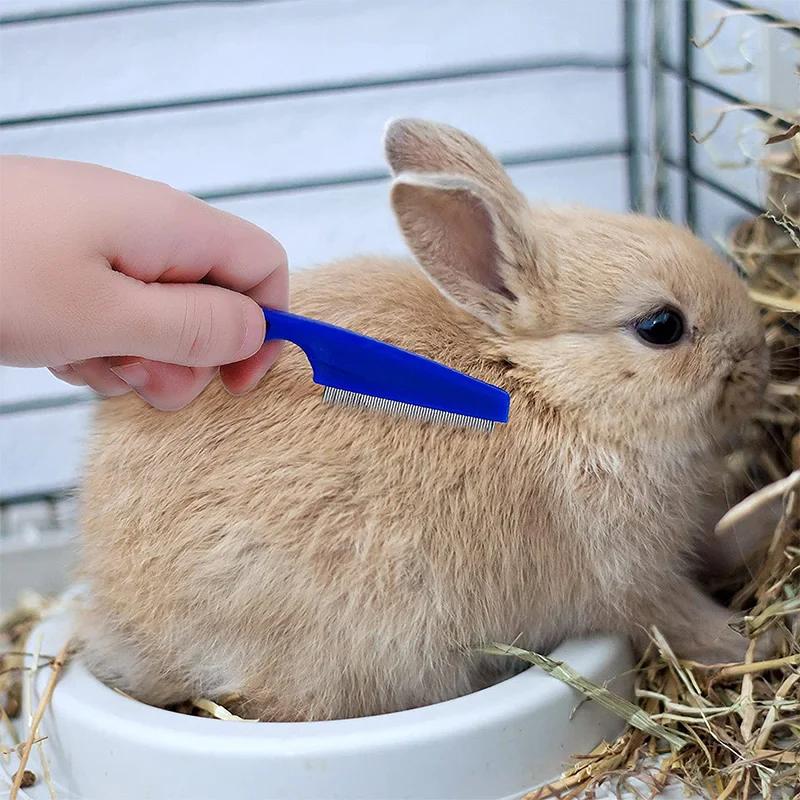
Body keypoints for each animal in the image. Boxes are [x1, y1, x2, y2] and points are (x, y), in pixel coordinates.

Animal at [77, 119, 770, 722]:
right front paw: (747, 642)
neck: (547, 388)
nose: (756, 356)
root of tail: (123, 620)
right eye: (662, 326)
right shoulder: (630, 576)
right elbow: (680, 617)